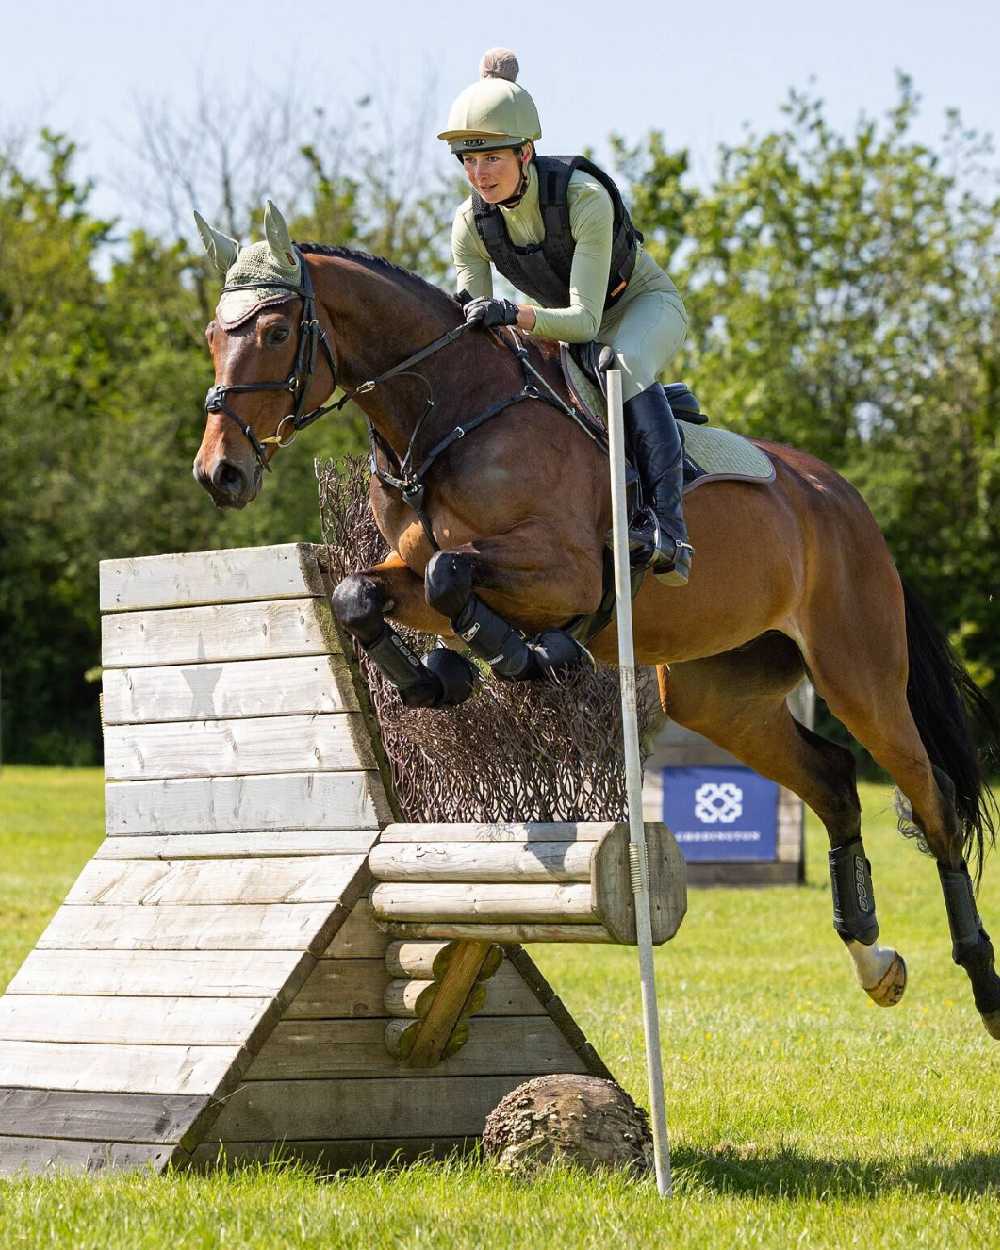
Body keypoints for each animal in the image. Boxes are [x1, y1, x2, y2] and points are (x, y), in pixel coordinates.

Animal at [191, 205, 995, 1040]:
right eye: (214, 335)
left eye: (275, 331)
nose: (220, 473)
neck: (448, 412)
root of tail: (844, 501)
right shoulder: (411, 569)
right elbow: (362, 593)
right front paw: (440, 679)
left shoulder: (567, 571)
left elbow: (455, 579)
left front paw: (524, 655)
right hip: (718, 694)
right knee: (834, 781)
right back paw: (876, 962)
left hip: (857, 673)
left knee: (933, 797)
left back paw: (983, 984)